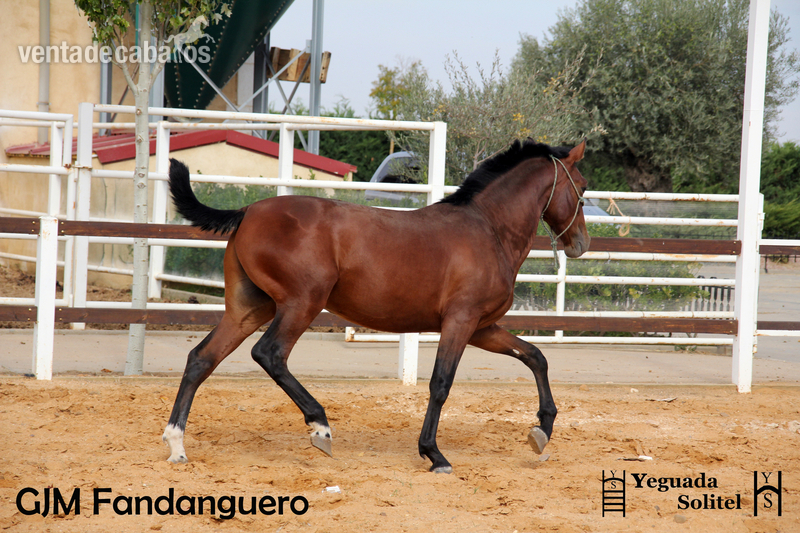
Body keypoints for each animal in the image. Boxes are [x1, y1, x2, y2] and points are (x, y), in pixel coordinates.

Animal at [162, 138, 590, 473]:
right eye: (583, 189)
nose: (581, 244)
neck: (488, 230)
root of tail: (248, 211)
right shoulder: (460, 321)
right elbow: (440, 383)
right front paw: (433, 454)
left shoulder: (483, 327)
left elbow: (534, 356)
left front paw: (541, 430)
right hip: (302, 303)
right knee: (270, 354)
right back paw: (320, 426)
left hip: (249, 309)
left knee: (201, 359)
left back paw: (177, 444)